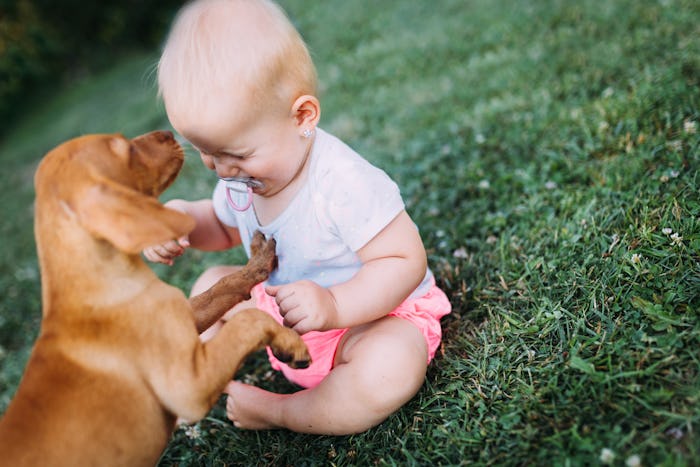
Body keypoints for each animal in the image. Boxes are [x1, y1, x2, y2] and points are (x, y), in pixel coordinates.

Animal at [0, 132, 308, 467]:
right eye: (126, 149)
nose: (168, 133)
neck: (95, 290)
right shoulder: (188, 386)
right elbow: (248, 320)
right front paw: (290, 342)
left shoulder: (182, 318)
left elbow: (223, 287)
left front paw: (257, 262)